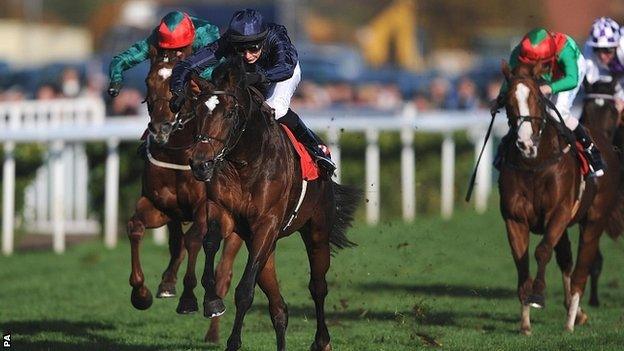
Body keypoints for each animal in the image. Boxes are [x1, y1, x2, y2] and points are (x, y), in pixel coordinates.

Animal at [127, 44, 244, 344]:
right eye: (148, 81)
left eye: (178, 89)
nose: (161, 128)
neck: (177, 152)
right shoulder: (158, 205)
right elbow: (136, 227)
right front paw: (141, 294)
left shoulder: (206, 208)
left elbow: (193, 241)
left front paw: (189, 299)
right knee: (175, 241)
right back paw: (167, 282)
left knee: (223, 272)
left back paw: (213, 330)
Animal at [186, 56, 360, 350]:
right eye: (197, 112)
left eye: (230, 113)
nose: (201, 164)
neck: (246, 161)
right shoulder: (224, 211)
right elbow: (209, 243)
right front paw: (212, 301)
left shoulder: (267, 223)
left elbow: (245, 291)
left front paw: (233, 341)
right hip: (267, 246)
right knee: (278, 306)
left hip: (316, 230)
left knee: (317, 286)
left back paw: (322, 340)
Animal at [498, 61, 624, 336]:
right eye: (508, 100)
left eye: (536, 98)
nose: (525, 143)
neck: (534, 164)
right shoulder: (514, 218)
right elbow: (521, 263)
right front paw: (525, 322)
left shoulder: (560, 211)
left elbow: (542, 250)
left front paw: (537, 296)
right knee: (567, 260)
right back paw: (575, 312)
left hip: (594, 220)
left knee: (582, 268)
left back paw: (571, 320)